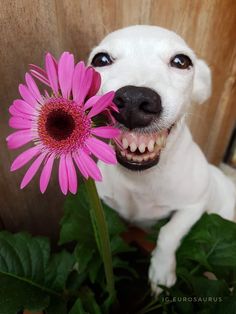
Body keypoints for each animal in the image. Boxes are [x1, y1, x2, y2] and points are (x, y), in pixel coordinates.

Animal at [87, 25, 235, 296]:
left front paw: (161, 273)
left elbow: (169, 233)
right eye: (100, 60)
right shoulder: (101, 205)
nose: (134, 99)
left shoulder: (194, 205)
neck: (141, 180)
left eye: (181, 61)